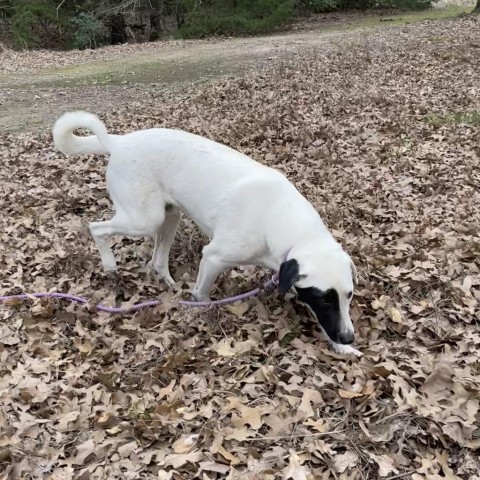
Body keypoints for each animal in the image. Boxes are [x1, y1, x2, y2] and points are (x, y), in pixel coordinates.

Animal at [53, 110, 360, 354]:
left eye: (349, 295)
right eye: (325, 298)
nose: (349, 337)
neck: (278, 217)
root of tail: (120, 142)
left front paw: (342, 348)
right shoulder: (213, 257)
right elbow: (202, 296)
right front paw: (206, 315)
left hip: (169, 216)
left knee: (157, 259)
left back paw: (168, 283)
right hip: (144, 219)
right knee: (97, 228)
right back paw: (109, 265)